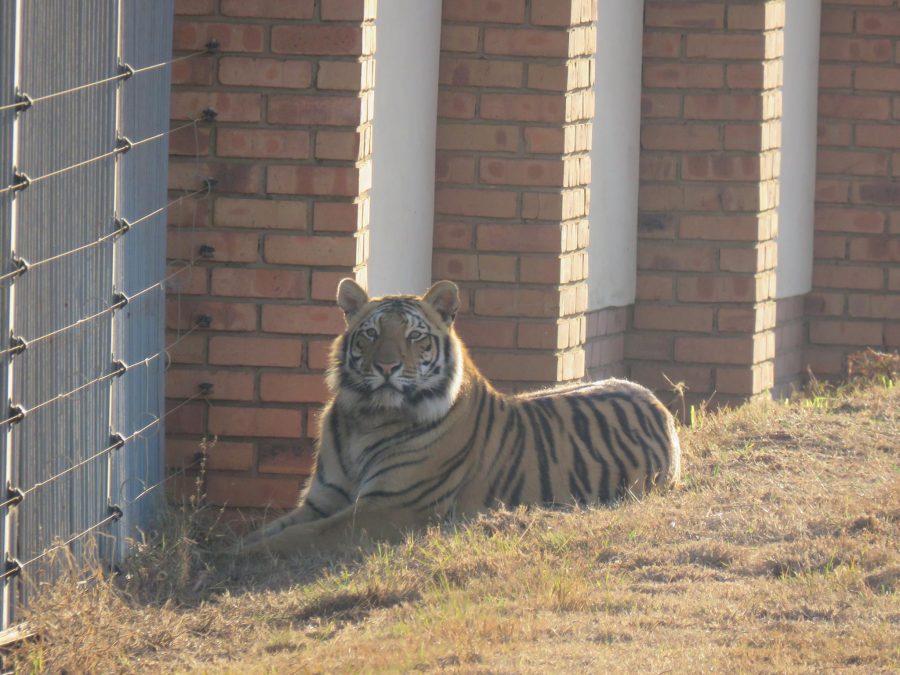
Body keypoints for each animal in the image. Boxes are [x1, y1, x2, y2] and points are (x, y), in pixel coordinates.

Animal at [239, 279, 681, 554]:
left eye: (415, 336)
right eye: (371, 334)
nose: (386, 367)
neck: (368, 417)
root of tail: (653, 399)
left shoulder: (392, 506)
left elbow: (306, 534)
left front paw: (252, 555)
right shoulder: (322, 499)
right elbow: (276, 526)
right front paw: (238, 548)